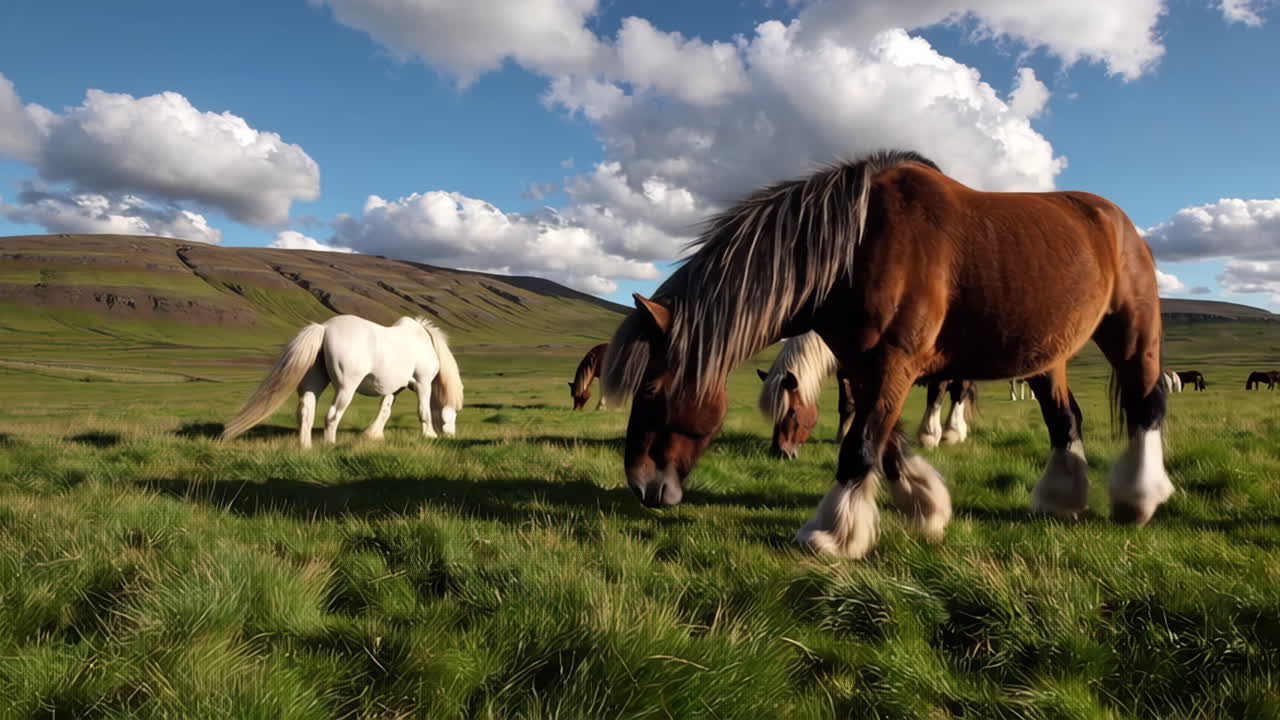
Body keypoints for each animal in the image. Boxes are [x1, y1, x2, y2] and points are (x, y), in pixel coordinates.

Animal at [221, 315, 464, 448]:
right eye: (453, 415)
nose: (451, 436)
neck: (424, 340)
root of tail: (324, 328)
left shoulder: (394, 389)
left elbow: (384, 410)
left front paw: (374, 435)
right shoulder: (423, 383)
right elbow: (423, 411)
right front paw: (430, 435)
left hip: (313, 385)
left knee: (306, 413)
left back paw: (306, 447)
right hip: (346, 388)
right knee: (331, 416)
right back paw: (330, 444)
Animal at [757, 332, 976, 457]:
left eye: (792, 412)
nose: (779, 452)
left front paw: (929, 437)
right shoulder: (847, 372)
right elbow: (848, 404)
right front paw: (844, 436)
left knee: (957, 392)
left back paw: (950, 432)